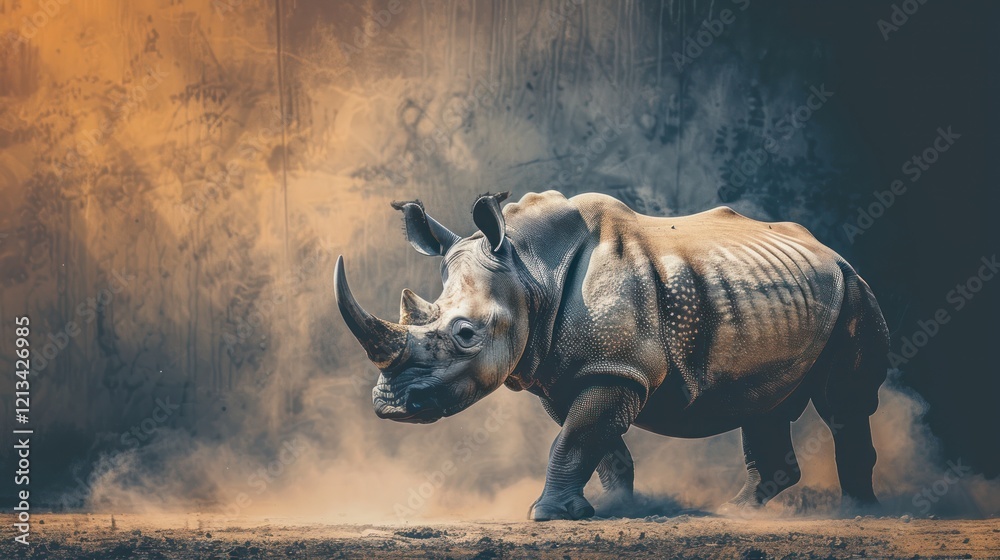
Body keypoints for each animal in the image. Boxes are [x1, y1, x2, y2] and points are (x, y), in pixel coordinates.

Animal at [335, 190, 889, 520]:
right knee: (763, 402)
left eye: (466, 333)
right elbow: (596, 444)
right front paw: (611, 507)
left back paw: (858, 514)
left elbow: (577, 438)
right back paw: (738, 512)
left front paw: (546, 515)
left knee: (843, 405)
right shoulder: (564, 372)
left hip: (854, 288)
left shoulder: (618, 369)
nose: (391, 406)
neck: (529, 270)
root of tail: (827, 249)